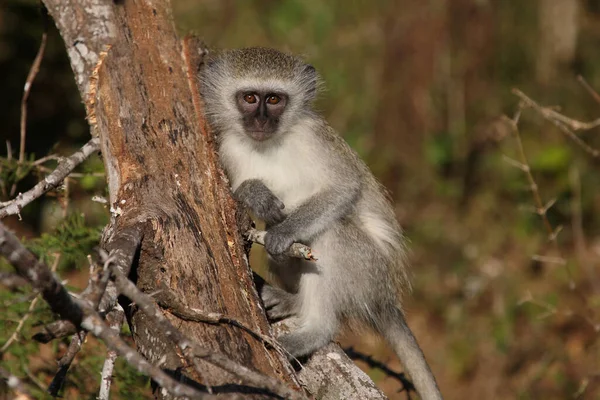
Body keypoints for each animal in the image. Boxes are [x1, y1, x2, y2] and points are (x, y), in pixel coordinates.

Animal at [200, 47, 440, 400]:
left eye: (274, 99)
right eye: (249, 97)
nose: (261, 120)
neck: (269, 144)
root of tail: (386, 299)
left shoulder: (312, 137)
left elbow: (343, 188)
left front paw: (283, 232)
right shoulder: (229, 148)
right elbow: (233, 193)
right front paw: (255, 195)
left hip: (368, 271)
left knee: (332, 235)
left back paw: (315, 328)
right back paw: (292, 299)